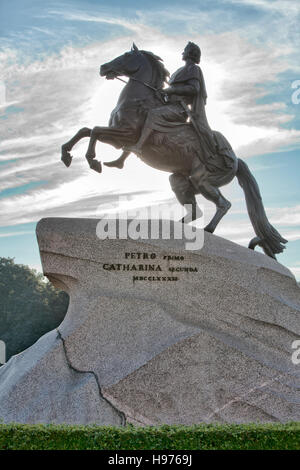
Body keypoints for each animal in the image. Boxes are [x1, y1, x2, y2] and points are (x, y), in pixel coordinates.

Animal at [60, 42, 286, 258]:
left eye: (126, 55)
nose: (103, 67)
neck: (139, 99)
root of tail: (237, 160)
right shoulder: (117, 137)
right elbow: (85, 130)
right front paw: (66, 155)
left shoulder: (125, 134)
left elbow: (96, 131)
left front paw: (93, 160)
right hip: (180, 181)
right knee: (195, 211)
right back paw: (178, 227)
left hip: (202, 180)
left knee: (224, 204)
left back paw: (208, 229)